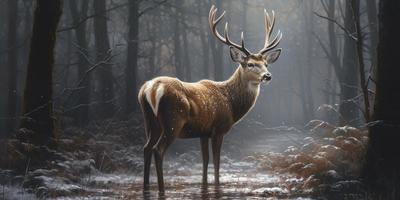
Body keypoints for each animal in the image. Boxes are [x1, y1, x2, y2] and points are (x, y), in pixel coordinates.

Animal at [139, 5, 282, 192]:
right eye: (250, 64)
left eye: (266, 63)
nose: (267, 76)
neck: (231, 104)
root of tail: (151, 89)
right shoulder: (218, 128)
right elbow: (216, 161)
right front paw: (217, 185)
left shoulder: (203, 132)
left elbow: (205, 161)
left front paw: (205, 185)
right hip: (173, 120)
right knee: (158, 149)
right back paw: (162, 189)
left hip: (150, 121)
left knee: (146, 148)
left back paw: (146, 186)